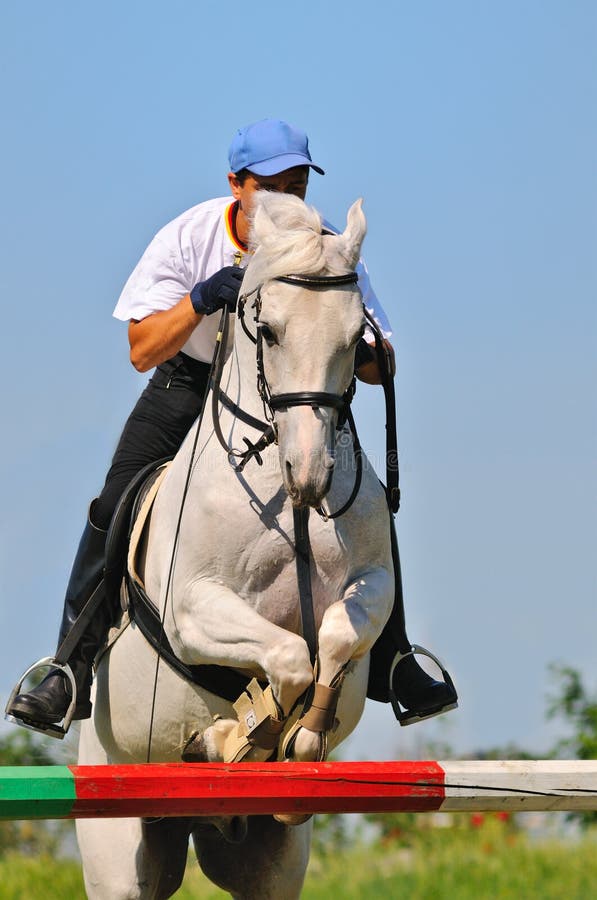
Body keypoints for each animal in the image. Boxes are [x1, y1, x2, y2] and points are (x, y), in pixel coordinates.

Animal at [77, 195, 394, 900]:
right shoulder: (192, 609)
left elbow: (330, 639)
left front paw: (300, 739)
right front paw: (245, 733)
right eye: (268, 331)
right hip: (117, 841)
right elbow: (289, 655)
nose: (311, 476)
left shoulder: (373, 586)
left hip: (269, 863)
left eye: (355, 335)